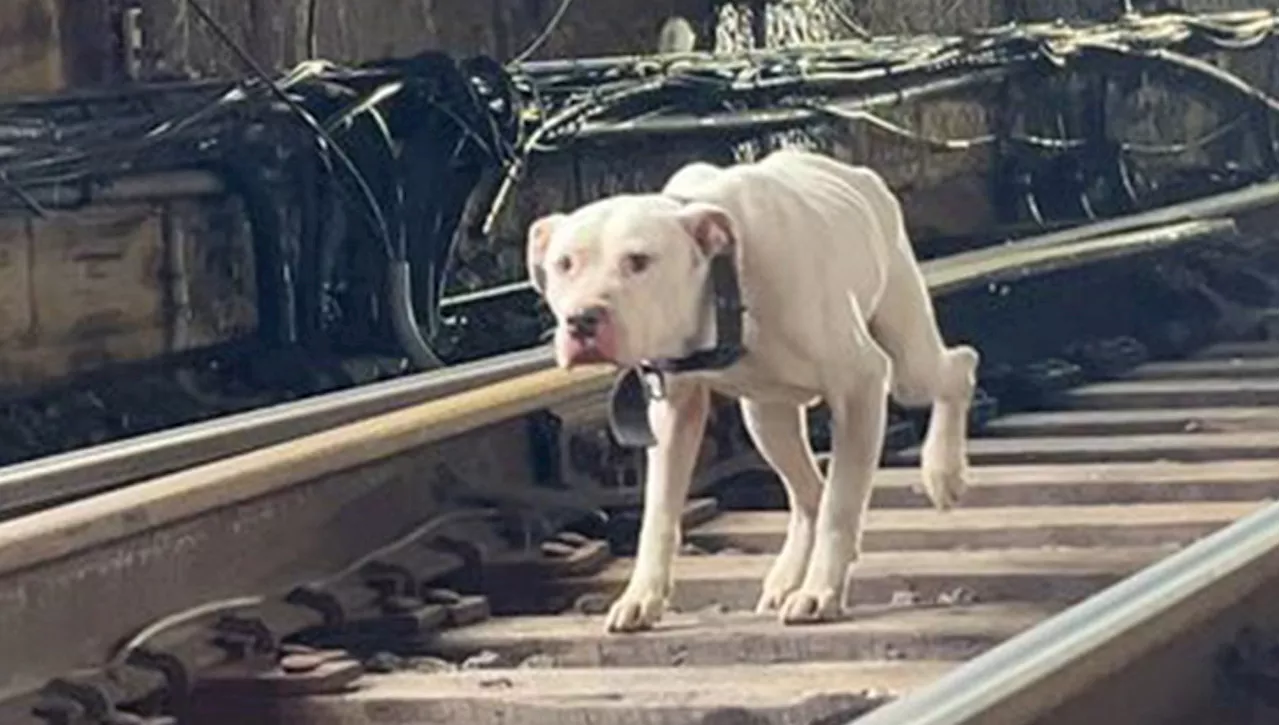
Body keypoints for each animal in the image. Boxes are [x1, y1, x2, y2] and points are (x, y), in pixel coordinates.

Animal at [524, 150, 972, 632]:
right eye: (564, 264)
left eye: (639, 261)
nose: (582, 319)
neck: (724, 285)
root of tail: (856, 174)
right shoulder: (673, 412)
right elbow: (658, 512)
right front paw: (641, 596)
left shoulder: (861, 384)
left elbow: (841, 504)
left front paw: (820, 592)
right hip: (766, 418)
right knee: (809, 493)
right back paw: (787, 578)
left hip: (908, 362)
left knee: (958, 368)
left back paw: (943, 472)